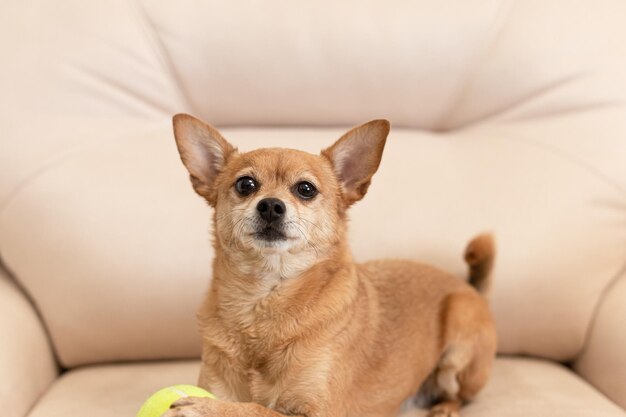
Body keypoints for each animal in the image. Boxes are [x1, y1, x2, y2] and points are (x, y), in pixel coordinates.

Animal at [163, 114, 494, 416]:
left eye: (306, 189)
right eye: (246, 185)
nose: (270, 205)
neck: (264, 297)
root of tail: (468, 286)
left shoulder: (317, 412)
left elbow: (257, 410)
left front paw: (204, 407)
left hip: (459, 335)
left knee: (458, 396)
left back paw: (444, 408)